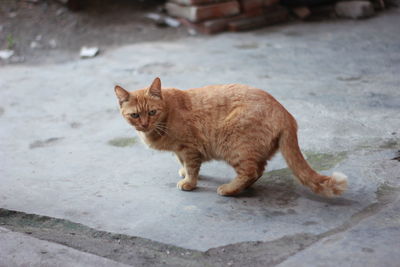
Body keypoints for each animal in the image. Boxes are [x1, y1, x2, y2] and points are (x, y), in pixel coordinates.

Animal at [115, 77, 346, 197]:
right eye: (135, 115)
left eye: (152, 112)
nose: (144, 124)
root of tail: (285, 113)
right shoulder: (180, 150)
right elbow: (183, 163)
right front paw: (183, 172)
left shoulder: (189, 148)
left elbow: (192, 167)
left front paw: (189, 182)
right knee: (259, 169)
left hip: (233, 145)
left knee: (251, 171)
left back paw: (229, 189)